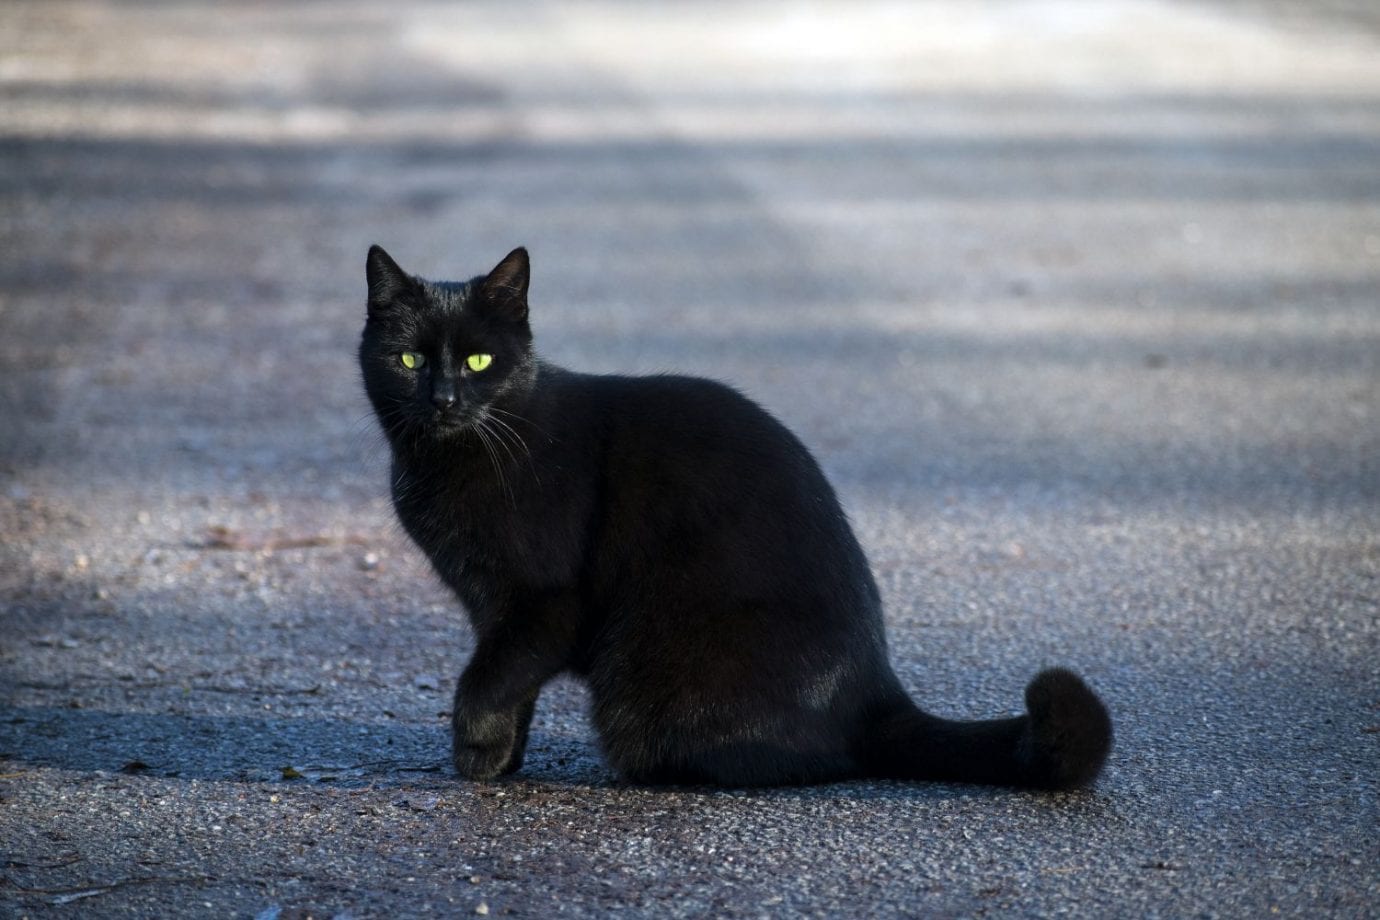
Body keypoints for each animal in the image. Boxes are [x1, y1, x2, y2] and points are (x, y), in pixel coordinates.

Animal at [356, 246, 1109, 794]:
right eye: (410, 358)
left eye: (480, 359)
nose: (444, 398)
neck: (447, 458)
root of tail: (875, 691)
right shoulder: (497, 611)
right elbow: (513, 686)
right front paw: (503, 759)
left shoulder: (542, 601)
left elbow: (486, 682)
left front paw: (475, 758)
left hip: (655, 671)